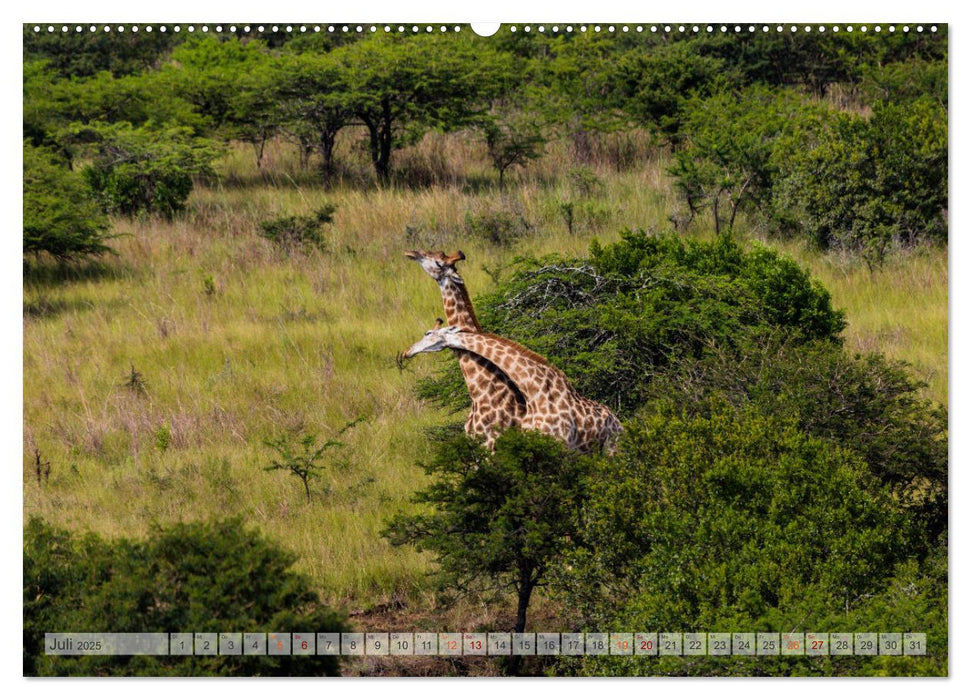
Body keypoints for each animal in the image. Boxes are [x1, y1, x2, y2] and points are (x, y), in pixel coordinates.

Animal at [402, 322, 624, 454]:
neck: (534, 393)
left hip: (612, 447)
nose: (407, 351)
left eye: (428, 333)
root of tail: (618, 421)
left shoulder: (561, 445)